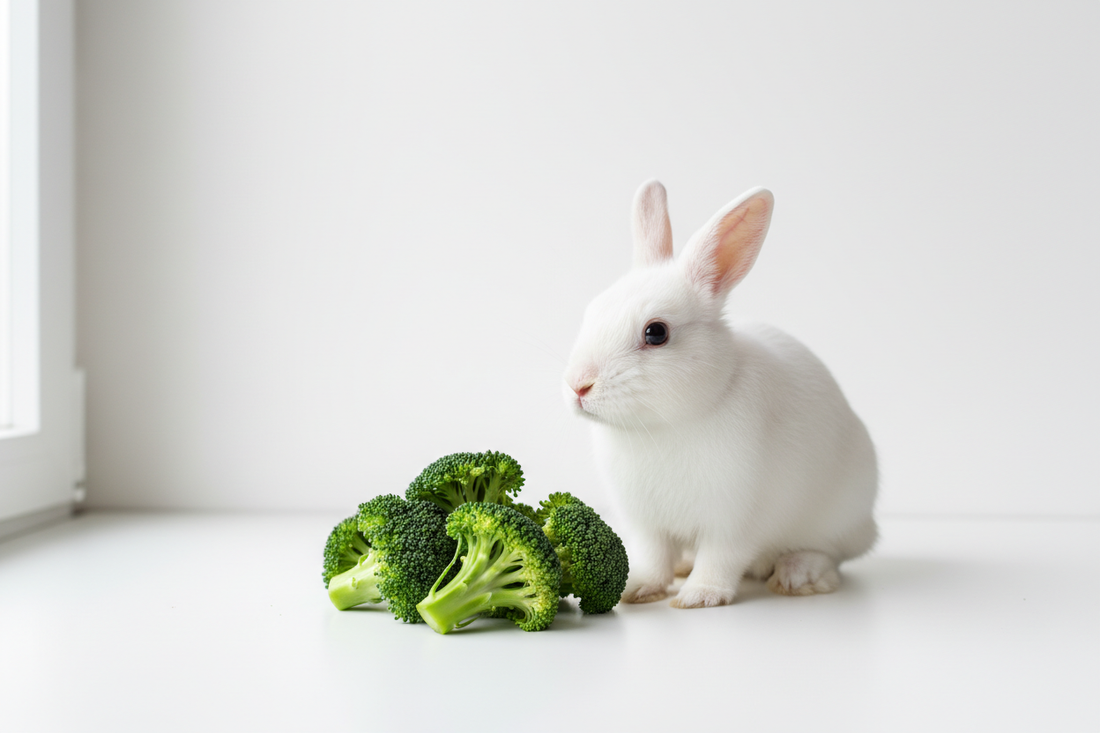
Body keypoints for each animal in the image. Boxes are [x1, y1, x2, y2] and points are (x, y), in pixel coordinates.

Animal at [562, 180, 878, 608]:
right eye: (592, 311)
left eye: (656, 332)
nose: (578, 384)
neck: (667, 425)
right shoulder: (646, 523)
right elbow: (653, 558)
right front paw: (638, 589)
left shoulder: (735, 521)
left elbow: (720, 560)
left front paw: (699, 597)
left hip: (838, 516)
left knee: (831, 554)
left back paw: (798, 575)